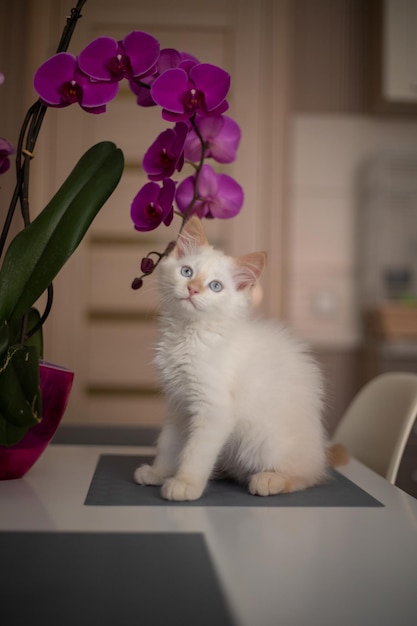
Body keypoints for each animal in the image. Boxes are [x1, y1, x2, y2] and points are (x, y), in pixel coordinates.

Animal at [136, 217, 332, 500]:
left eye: (215, 286)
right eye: (187, 272)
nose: (192, 289)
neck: (188, 333)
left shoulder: (215, 409)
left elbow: (196, 452)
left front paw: (186, 483)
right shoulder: (178, 405)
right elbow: (169, 444)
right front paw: (158, 472)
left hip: (267, 443)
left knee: (307, 476)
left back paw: (270, 479)